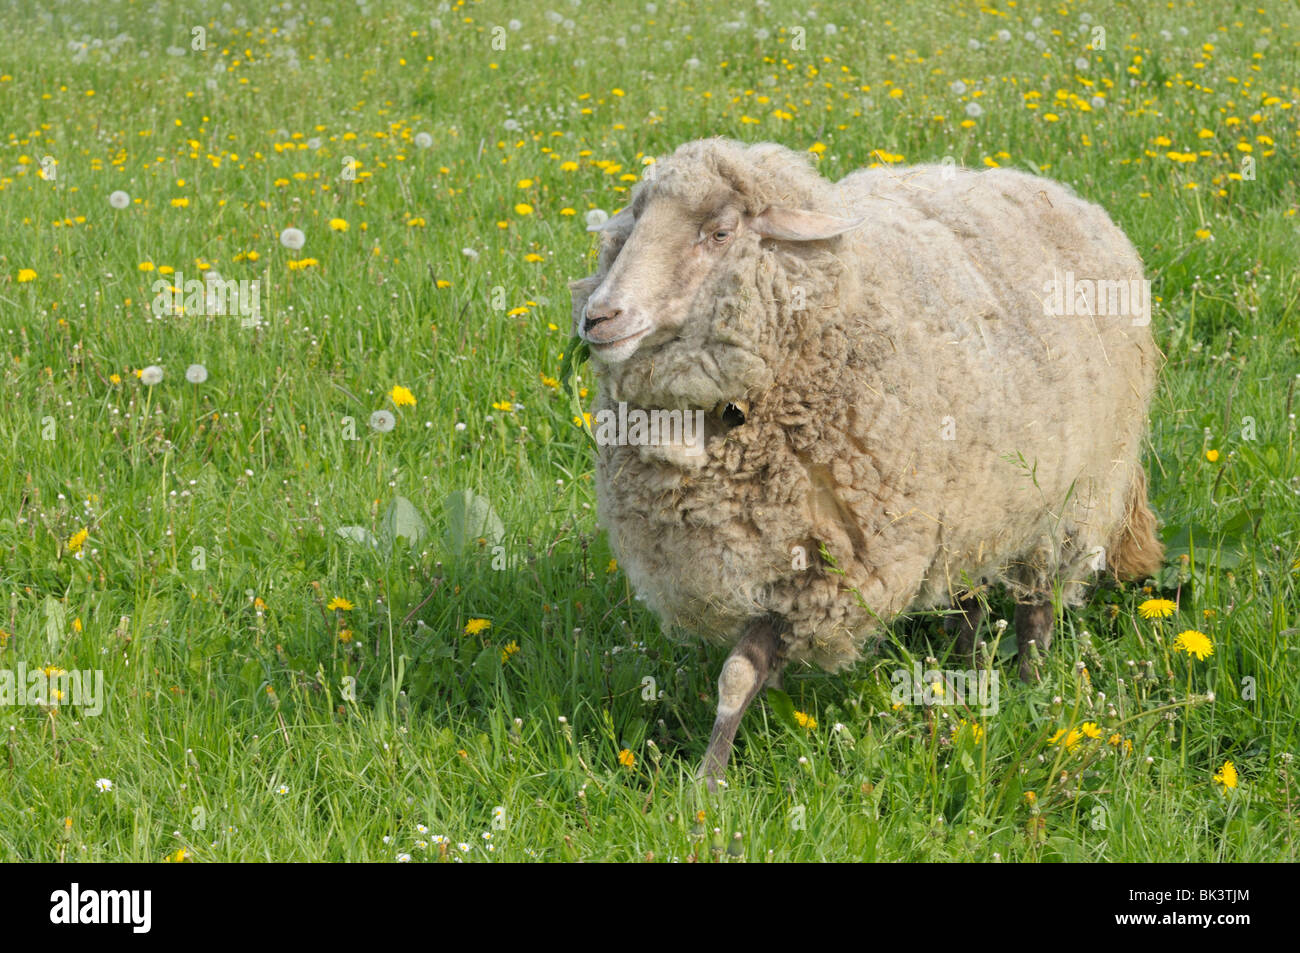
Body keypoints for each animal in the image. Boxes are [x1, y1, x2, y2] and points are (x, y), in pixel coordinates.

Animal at [566, 135, 1159, 790]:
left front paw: (706, 787)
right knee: (972, 604)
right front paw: (709, 780)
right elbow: (739, 677)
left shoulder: (825, 564)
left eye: (719, 232)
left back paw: (1030, 690)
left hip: (1075, 494)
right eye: (632, 227)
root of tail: (1057, 190)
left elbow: (739, 673)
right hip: (973, 503)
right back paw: (965, 675)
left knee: (1037, 606)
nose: (598, 318)